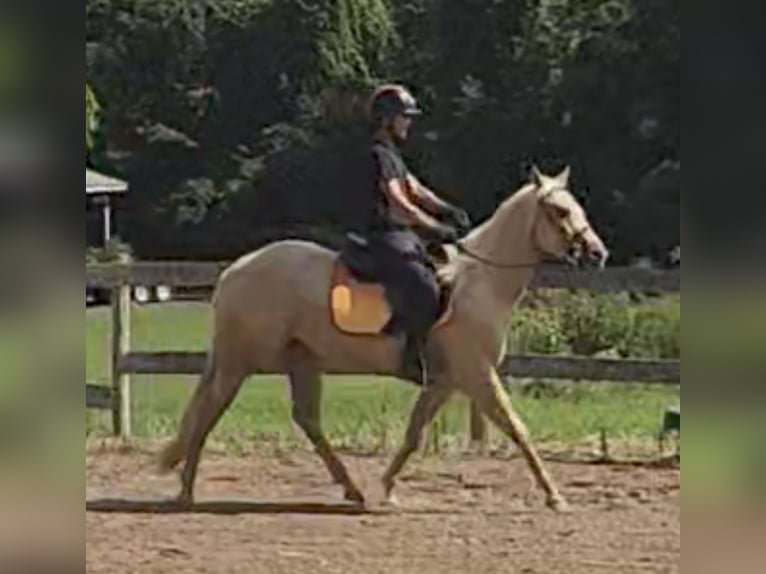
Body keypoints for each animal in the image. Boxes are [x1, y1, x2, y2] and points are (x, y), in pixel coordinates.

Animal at [159, 165, 608, 512]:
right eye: (559, 211)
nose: (597, 253)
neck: (478, 284)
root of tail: (234, 271)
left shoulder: (445, 382)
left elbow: (414, 434)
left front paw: (386, 489)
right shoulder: (476, 375)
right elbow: (518, 429)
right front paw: (555, 497)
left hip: (301, 361)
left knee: (306, 420)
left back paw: (352, 490)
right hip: (239, 362)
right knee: (209, 412)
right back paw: (185, 493)